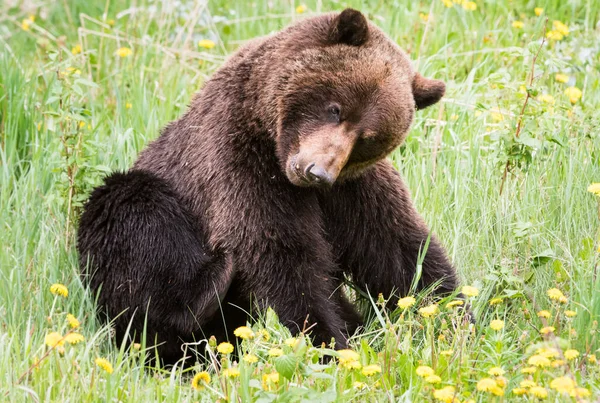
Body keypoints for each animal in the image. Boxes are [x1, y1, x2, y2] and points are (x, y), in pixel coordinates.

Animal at [76, 7, 460, 366]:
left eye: (368, 138)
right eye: (335, 108)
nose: (317, 171)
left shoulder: (352, 189)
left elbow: (399, 249)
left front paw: (453, 319)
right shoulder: (238, 160)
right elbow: (279, 251)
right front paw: (327, 344)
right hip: (150, 200)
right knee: (133, 218)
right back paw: (210, 284)